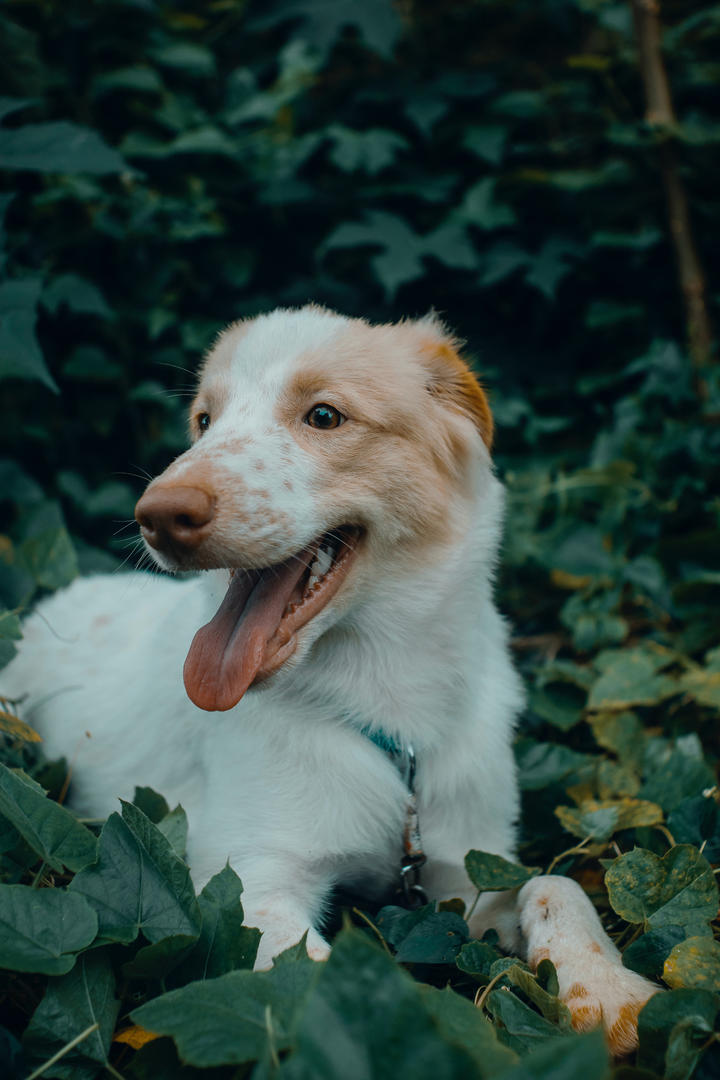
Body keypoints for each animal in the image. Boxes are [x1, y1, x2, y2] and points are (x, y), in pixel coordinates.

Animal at [2, 306, 660, 1054]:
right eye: (205, 421)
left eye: (324, 416)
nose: (157, 516)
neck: (385, 712)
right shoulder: (245, 885)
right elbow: (321, 980)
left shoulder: (470, 869)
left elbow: (553, 883)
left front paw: (604, 987)